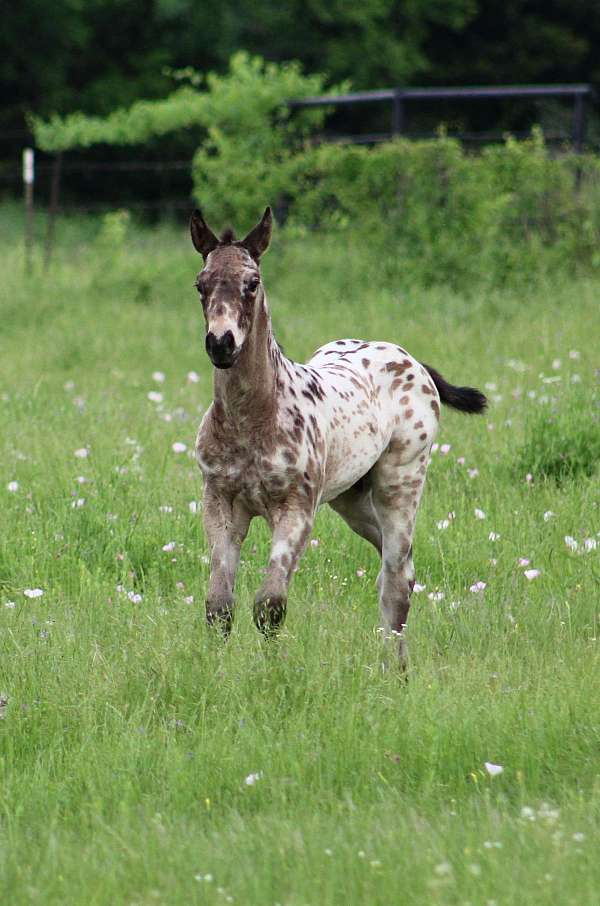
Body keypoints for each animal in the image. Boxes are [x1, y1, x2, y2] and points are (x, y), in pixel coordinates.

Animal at [191, 207, 488, 664]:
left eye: (252, 283)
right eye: (200, 284)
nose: (221, 344)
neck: (252, 421)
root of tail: (413, 362)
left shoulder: (296, 509)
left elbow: (270, 605)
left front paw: (273, 671)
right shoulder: (219, 502)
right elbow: (220, 606)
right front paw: (216, 669)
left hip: (400, 482)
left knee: (397, 576)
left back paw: (395, 670)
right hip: (350, 497)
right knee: (397, 567)